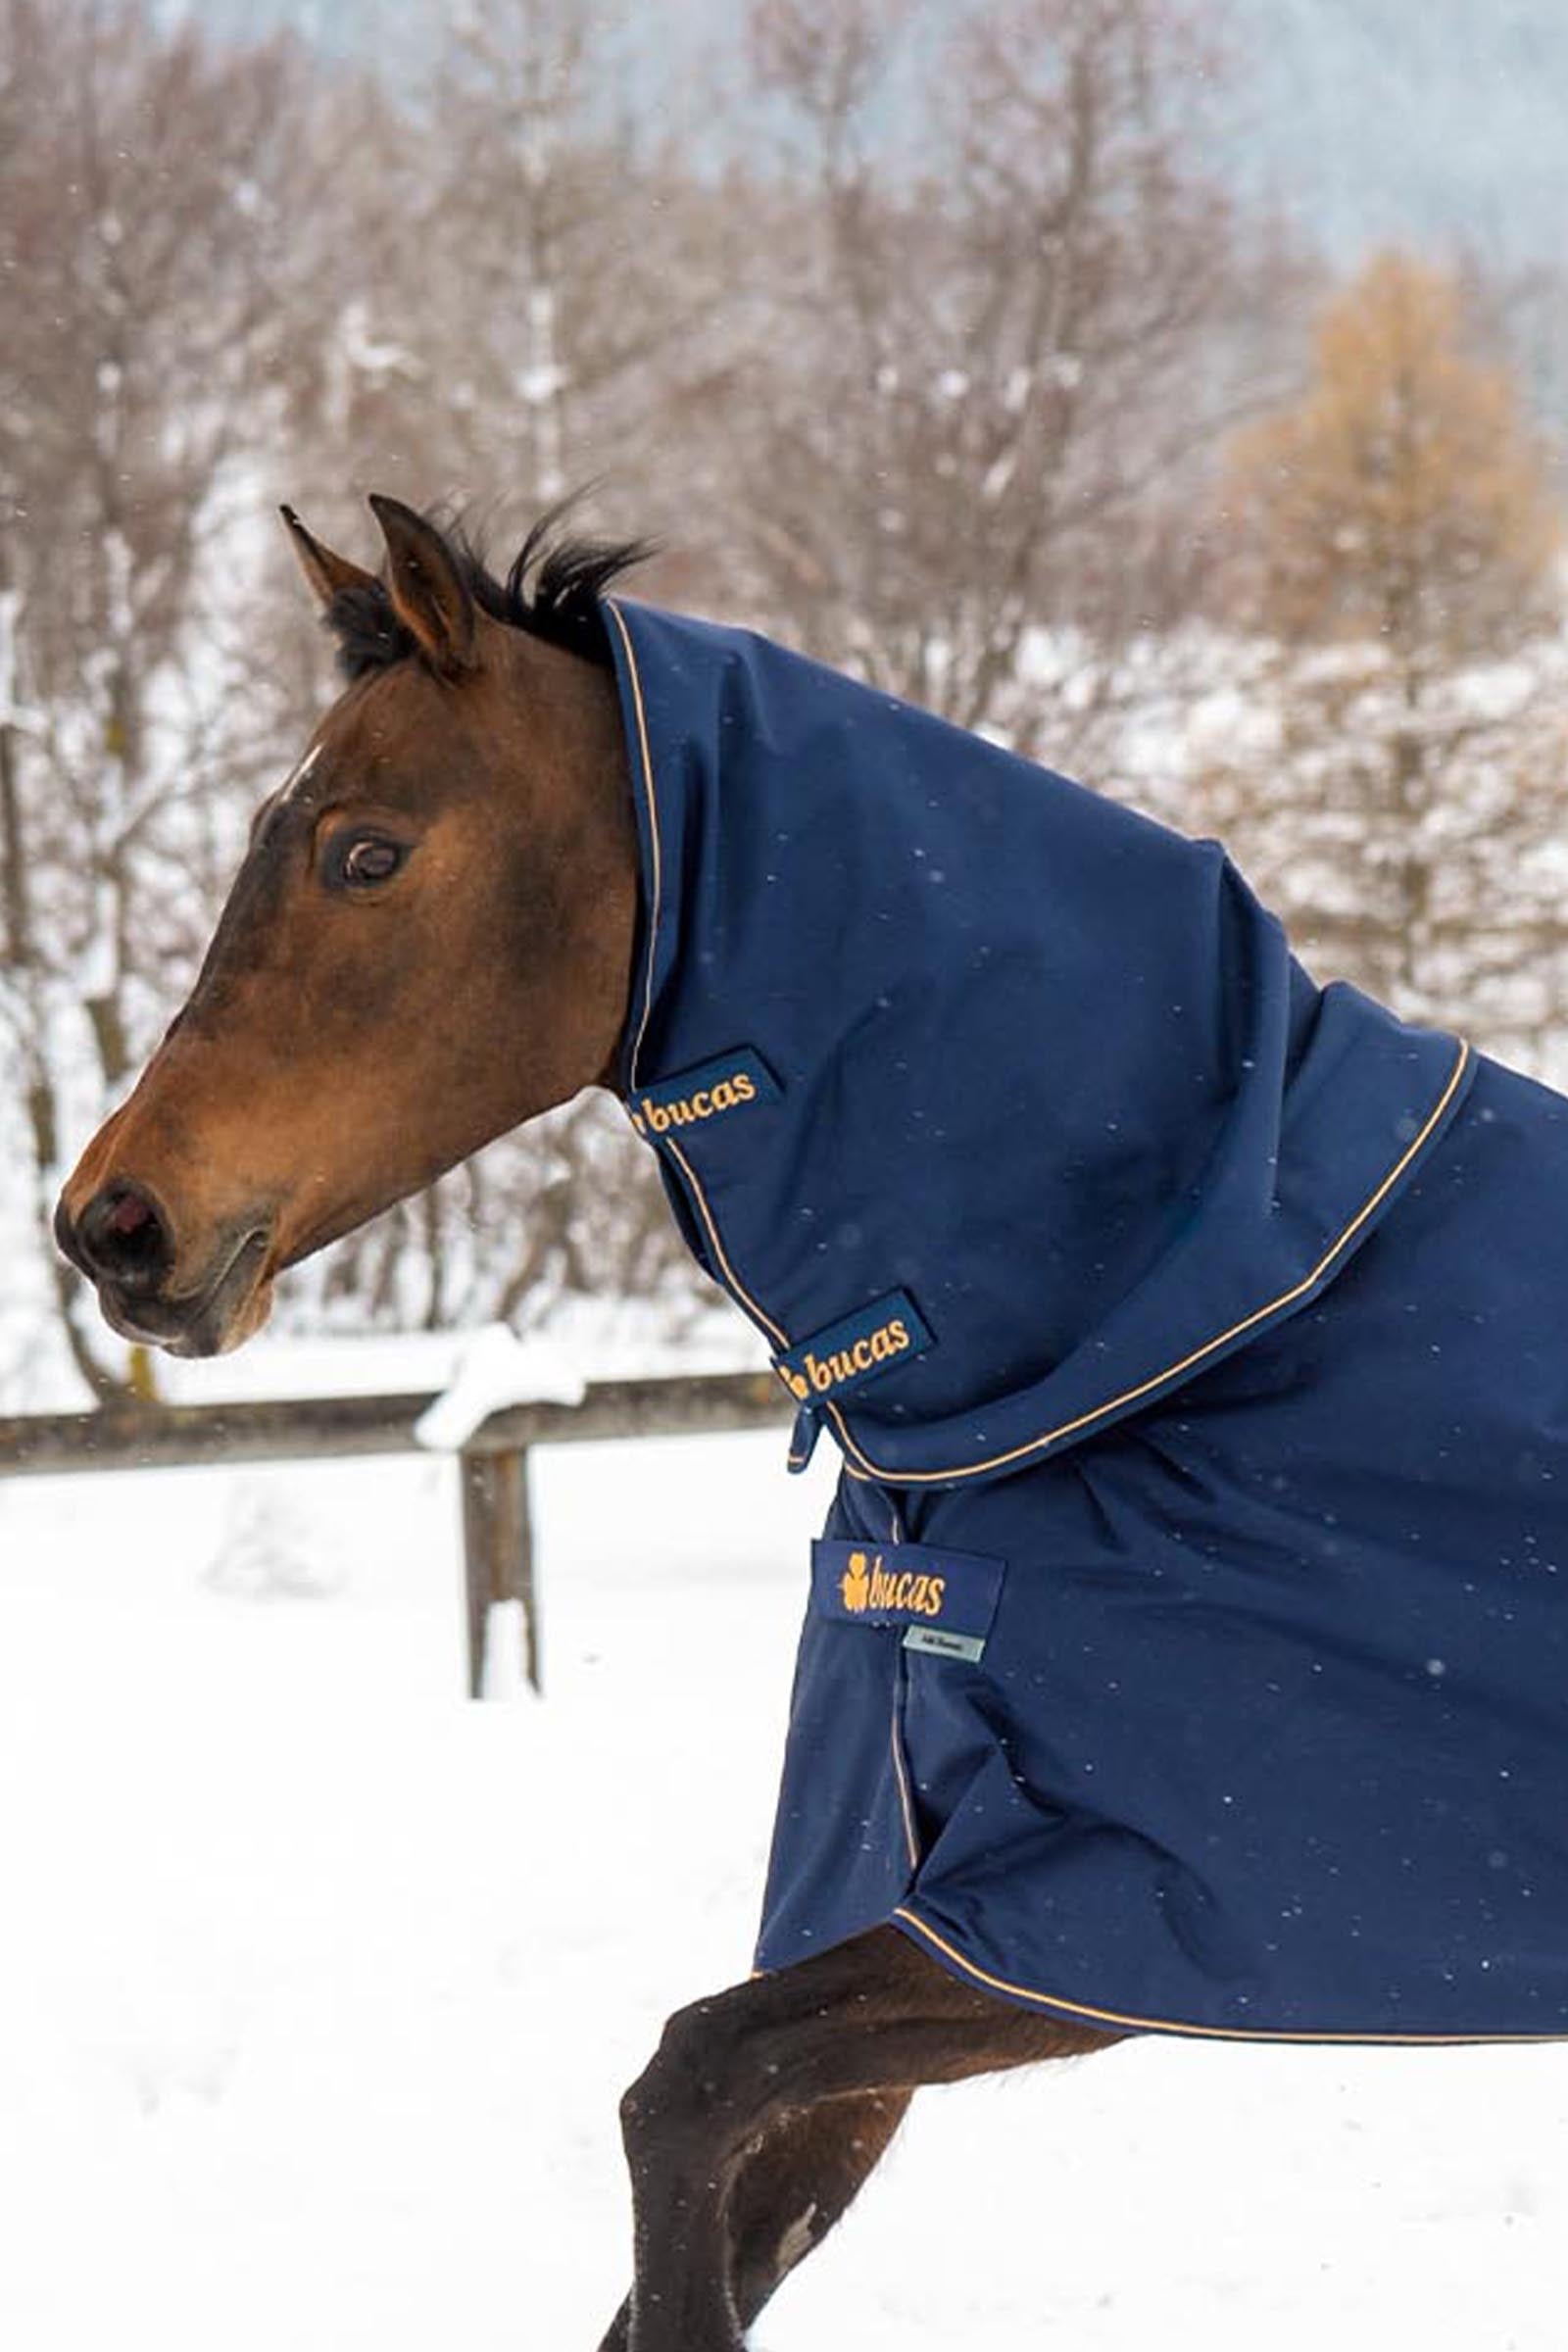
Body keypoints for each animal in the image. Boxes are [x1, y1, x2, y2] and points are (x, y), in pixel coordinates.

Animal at [55, 495, 1568, 2346]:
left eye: (364, 854)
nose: (114, 1226)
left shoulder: (1110, 1913)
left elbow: (684, 2090)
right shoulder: (923, 1912)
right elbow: (700, 2188)